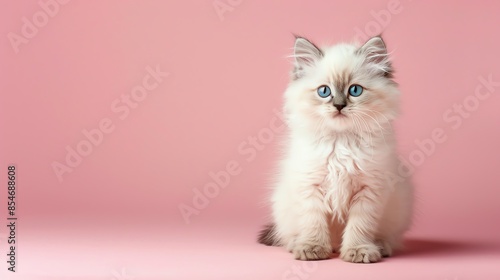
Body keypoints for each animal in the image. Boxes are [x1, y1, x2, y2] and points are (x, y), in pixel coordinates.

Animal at [258, 35, 414, 262]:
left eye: (355, 90)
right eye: (324, 91)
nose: (339, 106)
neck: (341, 143)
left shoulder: (369, 191)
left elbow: (359, 226)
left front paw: (358, 251)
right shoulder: (309, 187)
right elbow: (314, 222)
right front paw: (312, 249)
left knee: (387, 238)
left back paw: (379, 246)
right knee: (290, 235)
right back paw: (300, 244)